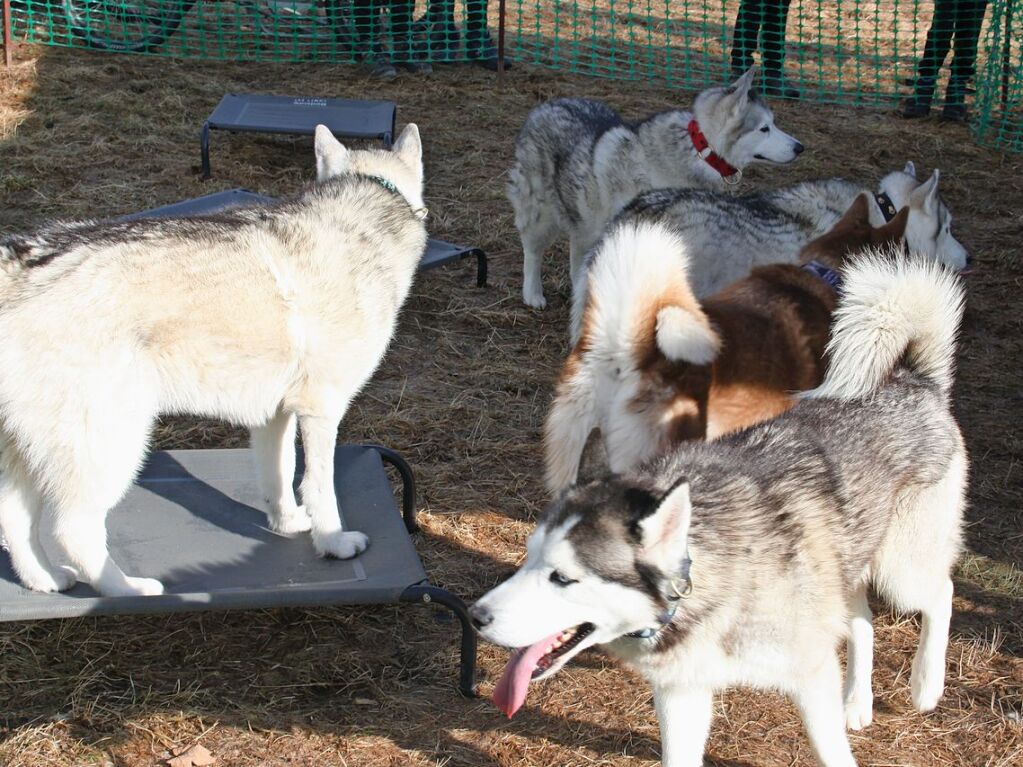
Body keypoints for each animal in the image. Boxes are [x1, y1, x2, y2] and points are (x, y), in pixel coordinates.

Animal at [0, 123, 429, 597]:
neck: (367, 201)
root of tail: (17, 263)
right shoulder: (321, 411)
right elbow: (319, 486)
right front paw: (333, 543)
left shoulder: (275, 416)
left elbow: (280, 476)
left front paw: (288, 524)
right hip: (113, 447)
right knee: (73, 530)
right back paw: (128, 590)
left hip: (30, 454)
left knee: (13, 521)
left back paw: (45, 581)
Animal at [470, 258, 965, 767]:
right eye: (528, 559)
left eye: (563, 578)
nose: (475, 616)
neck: (699, 577)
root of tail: (914, 380)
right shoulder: (682, 695)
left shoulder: (811, 678)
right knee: (864, 622)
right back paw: (857, 702)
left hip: (900, 572)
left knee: (941, 594)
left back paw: (926, 684)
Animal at [507, 67, 802, 310]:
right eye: (764, 128)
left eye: (774, 124)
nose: (800, 147)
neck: (700, 149)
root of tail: (546, 104)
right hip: (540, 214)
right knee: (532, 250)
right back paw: (533, 294)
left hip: (581, 221)